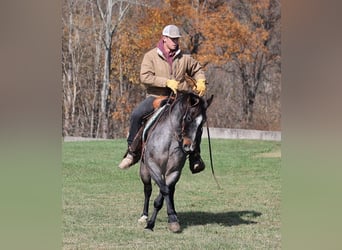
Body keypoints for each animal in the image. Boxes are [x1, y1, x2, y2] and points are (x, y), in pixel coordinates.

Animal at [138, 92, 212, 232]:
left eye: (202, 123)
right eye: (188, 118)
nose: (189, 147)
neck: (168, 141)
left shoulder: (174, 171)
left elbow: (164, 193)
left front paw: (172, 219)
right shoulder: (153, 167)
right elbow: (164, 191)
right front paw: (150, 224)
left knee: (170, 190)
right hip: (144, 171)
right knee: (147, 189)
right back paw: (144, 216)